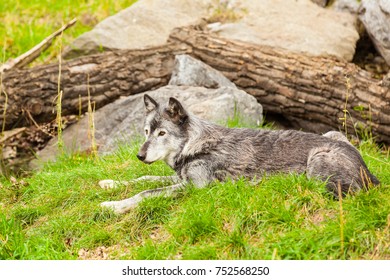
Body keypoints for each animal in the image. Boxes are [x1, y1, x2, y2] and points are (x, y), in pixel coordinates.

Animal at [99, 94, 380, 214]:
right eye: (146, 131)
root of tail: (369, 172)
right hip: (333, 133)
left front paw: (113, 206)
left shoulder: (195, 187)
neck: (194, 143)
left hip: (317, 162)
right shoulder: (180, 179)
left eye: (162, 133)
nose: (140, 156)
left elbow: (146, 192)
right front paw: (109, 184)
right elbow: (143, 180)